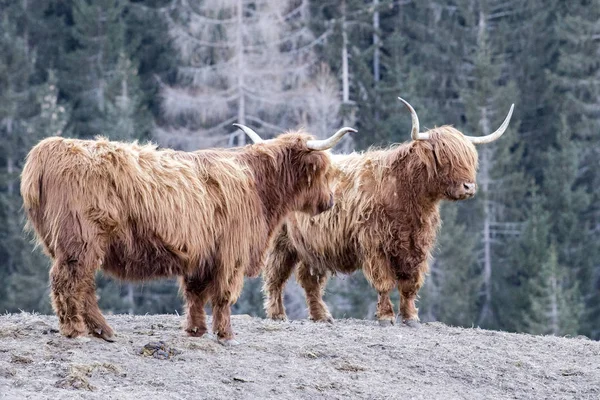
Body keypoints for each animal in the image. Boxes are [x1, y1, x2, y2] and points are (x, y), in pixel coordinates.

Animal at [18, 125, 356, 344]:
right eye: (324, 170)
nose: (330, 201)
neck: (257, 186)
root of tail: (51, 148)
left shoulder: (202, 255)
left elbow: (195, 293)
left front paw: (196, 330)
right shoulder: (231, 253)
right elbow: (223, 295)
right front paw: (225, 335)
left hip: (75, 244)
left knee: (83, 285)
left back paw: (103, 331)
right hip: (81, 241)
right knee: (68, 281)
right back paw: (75, 329)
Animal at [260, 98, 512, 326]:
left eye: (470, 158)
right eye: (444, 157)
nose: (469, 187)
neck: (405, 195)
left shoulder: (417, 246)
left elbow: (410, 284)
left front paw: (410, 317)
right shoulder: (375, 245)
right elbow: (384, 282)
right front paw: (386, 316)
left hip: (311, 246)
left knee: (309, 280)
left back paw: (321, 316)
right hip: (281, 242)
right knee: (275, 276)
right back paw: (278, 314)